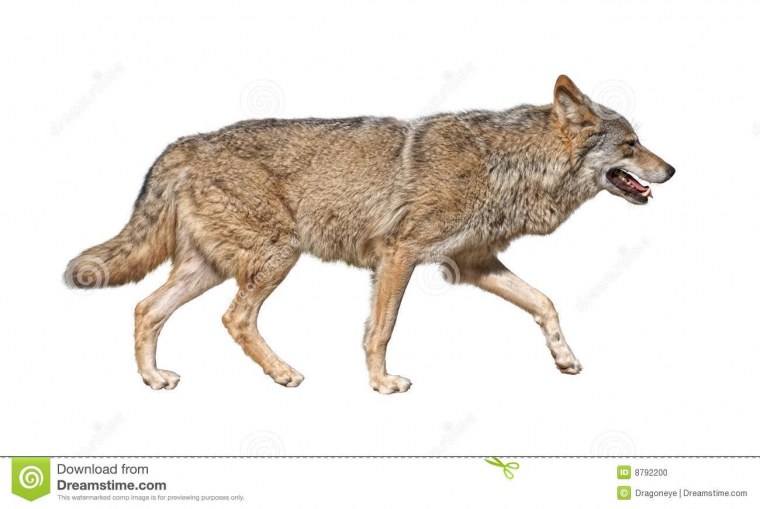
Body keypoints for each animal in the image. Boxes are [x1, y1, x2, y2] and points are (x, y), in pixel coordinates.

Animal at [65, 75, 674, 393]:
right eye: (631, 145)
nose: (672, 170)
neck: (507, 166)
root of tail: (185, 144)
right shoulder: (398, 256)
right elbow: (381, 330)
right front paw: (381, 385)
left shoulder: (472, 266)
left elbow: (545, 303)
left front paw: (565, 360)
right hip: (275, 258)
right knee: (233, 319)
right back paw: (283, 373)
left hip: (211, 268)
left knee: (146, 308)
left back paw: (153, 379)